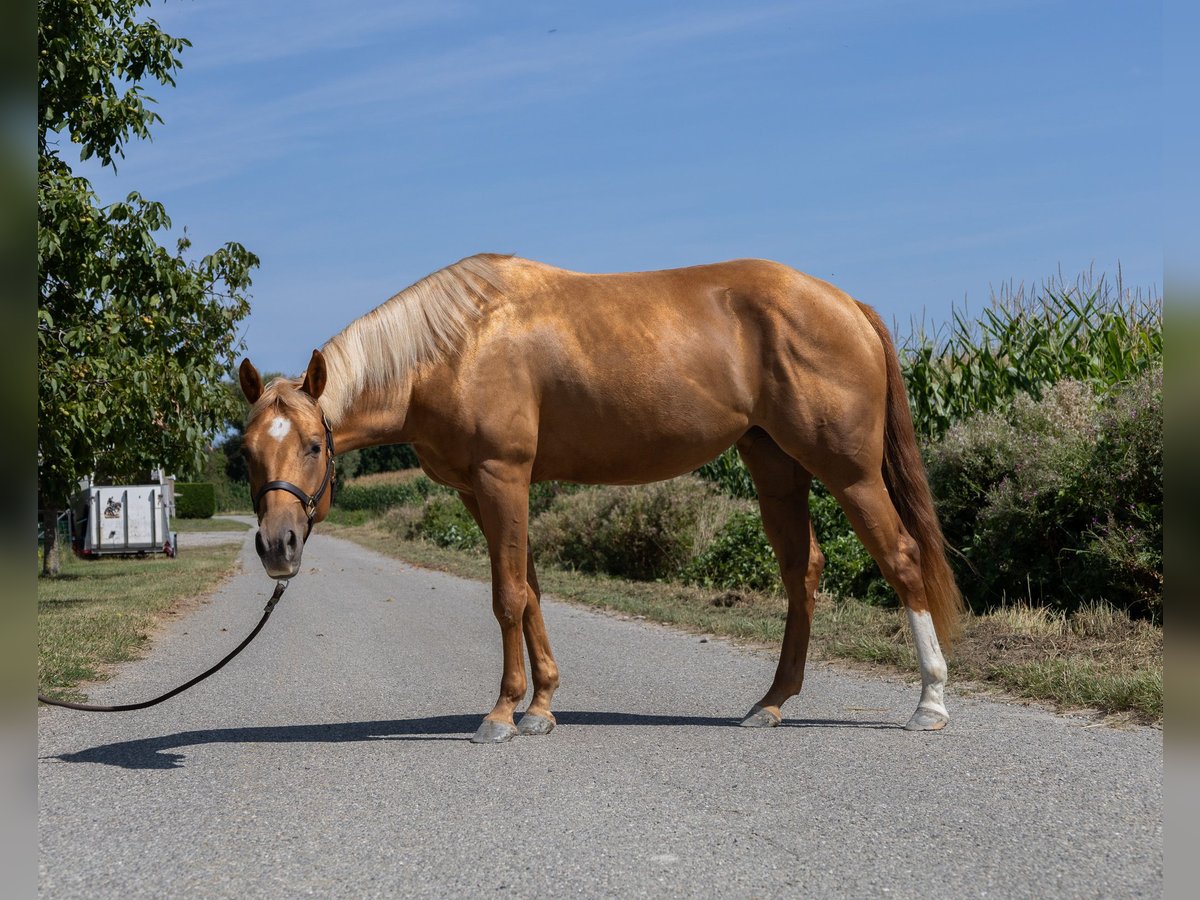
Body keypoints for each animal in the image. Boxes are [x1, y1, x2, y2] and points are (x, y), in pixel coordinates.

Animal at [236, 250, 964, 744]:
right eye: (245, 451)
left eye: (312, 444)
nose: (277, 547)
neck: (453, 347)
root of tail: (846, 303)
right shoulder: (481, 490)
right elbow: (529, 590)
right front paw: (540, 708)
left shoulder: (503, 477)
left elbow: (507, 596)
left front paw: (501, 714)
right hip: (774, 463)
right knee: (801, 571)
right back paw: (771, 703)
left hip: (849, 471)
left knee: (901, 557)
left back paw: (929, 703)